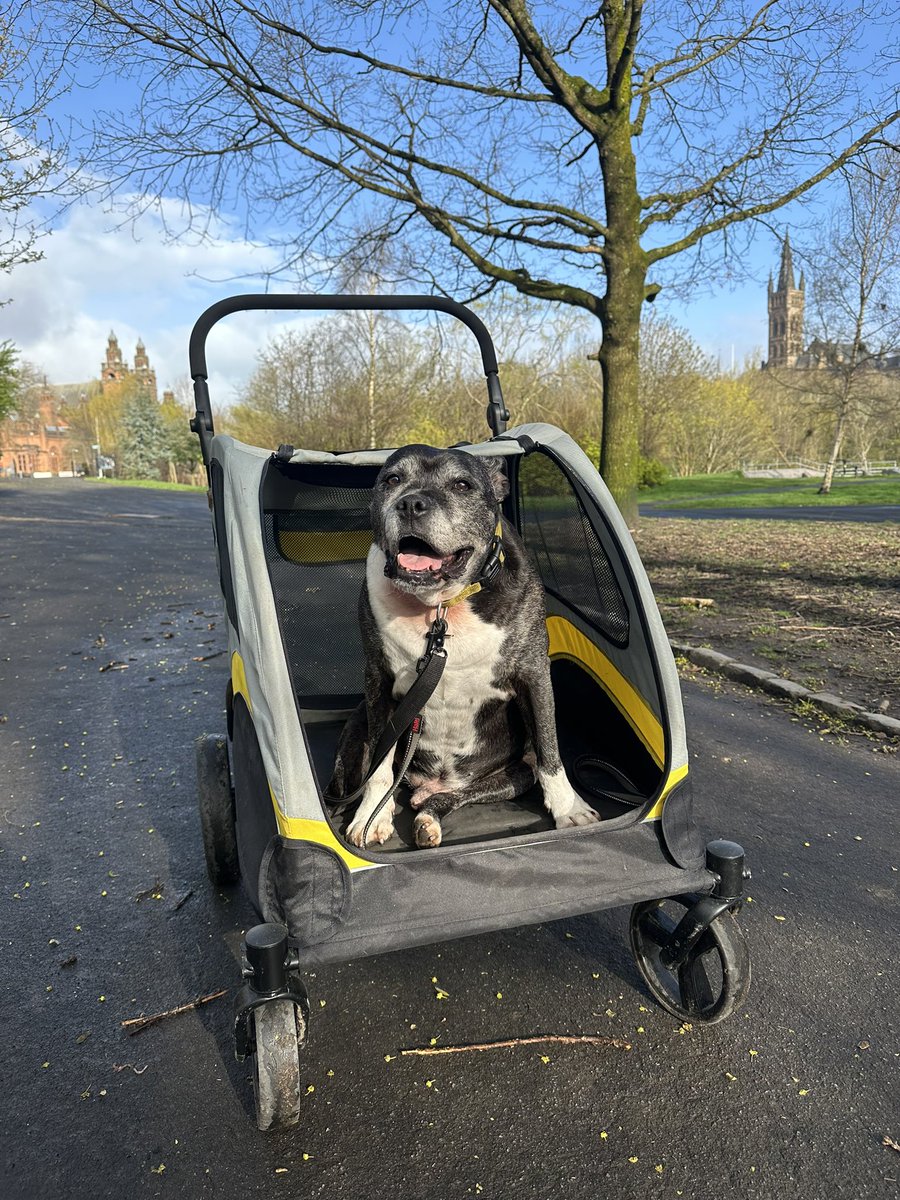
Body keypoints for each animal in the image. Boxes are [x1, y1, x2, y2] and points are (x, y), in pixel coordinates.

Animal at [328, 446, 602, 849]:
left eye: (462, 485)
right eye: (392, 479)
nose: (412, 503)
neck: (442, 606)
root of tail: (431, 783)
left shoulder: (534, 674)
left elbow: (550, 749)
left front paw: (569, 809)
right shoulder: (379, 680)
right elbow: (380, 764)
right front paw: (369, 817)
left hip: (514, 774)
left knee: (456, 796)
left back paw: (428, 818)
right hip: (358, 729)